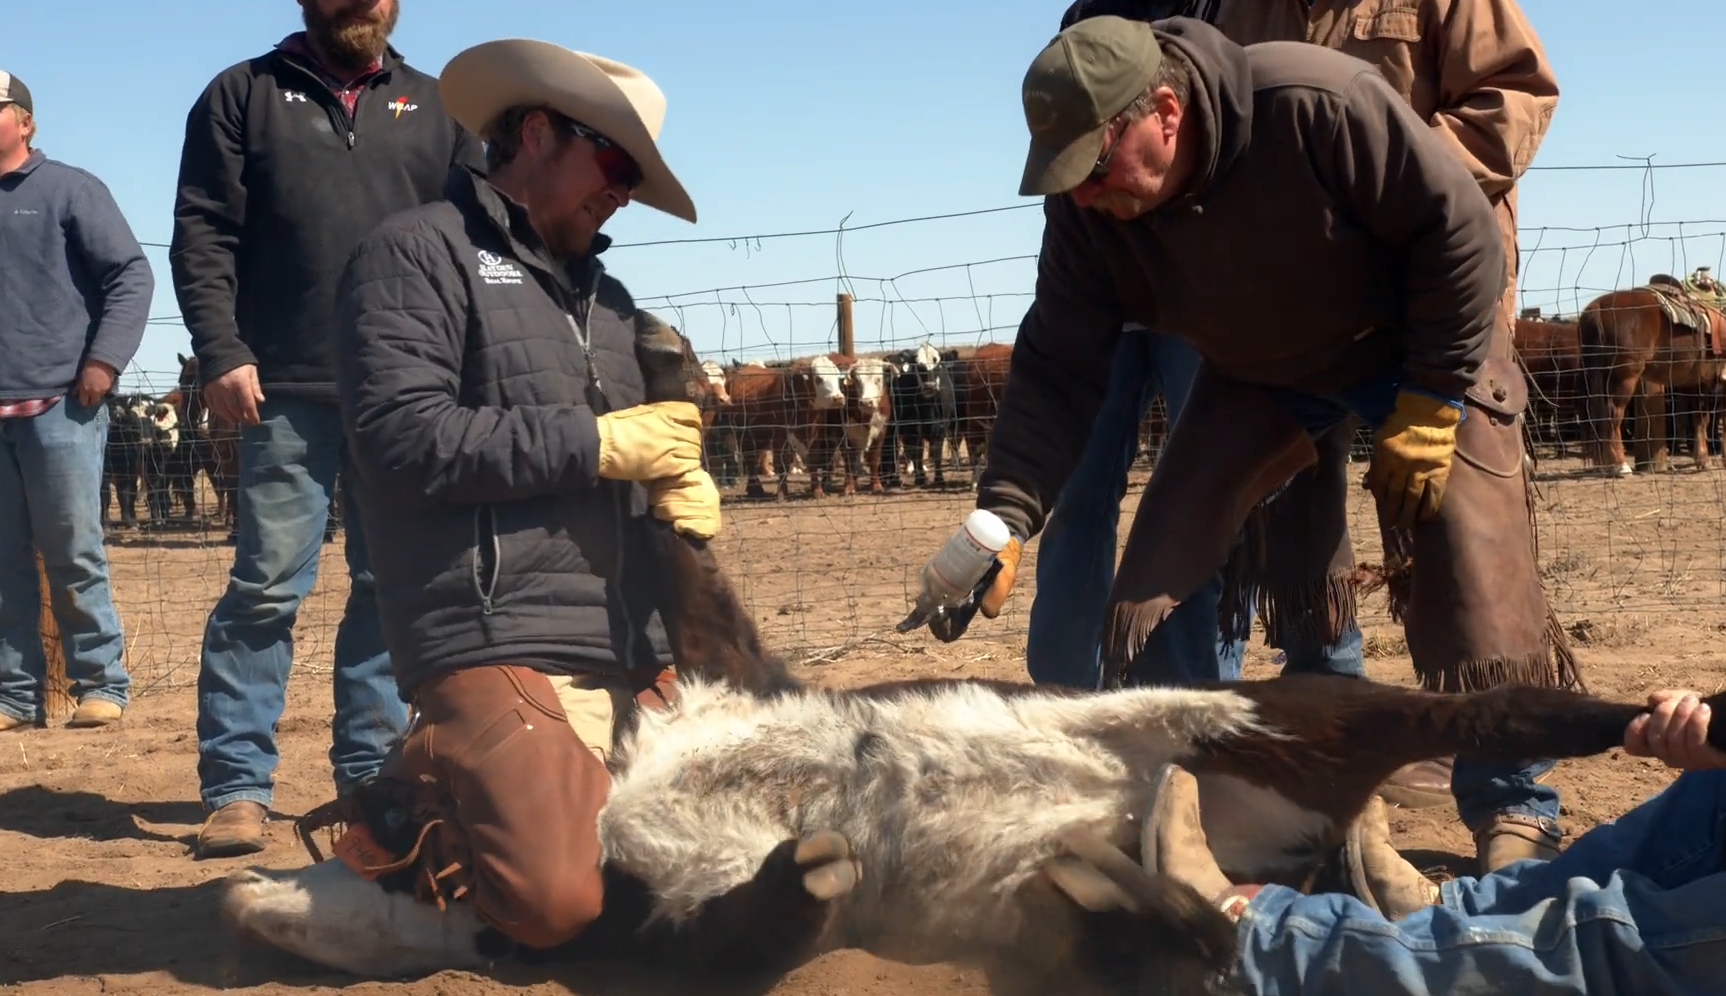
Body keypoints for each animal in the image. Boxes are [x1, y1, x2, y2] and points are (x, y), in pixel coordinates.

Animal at [1581, 286, 1726, 472]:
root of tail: (1598, 307)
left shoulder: (1698, 384)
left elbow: (1700, 420)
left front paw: (1702, 460)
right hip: (1624, 378)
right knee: (1614, 415)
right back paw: (1620, 465)